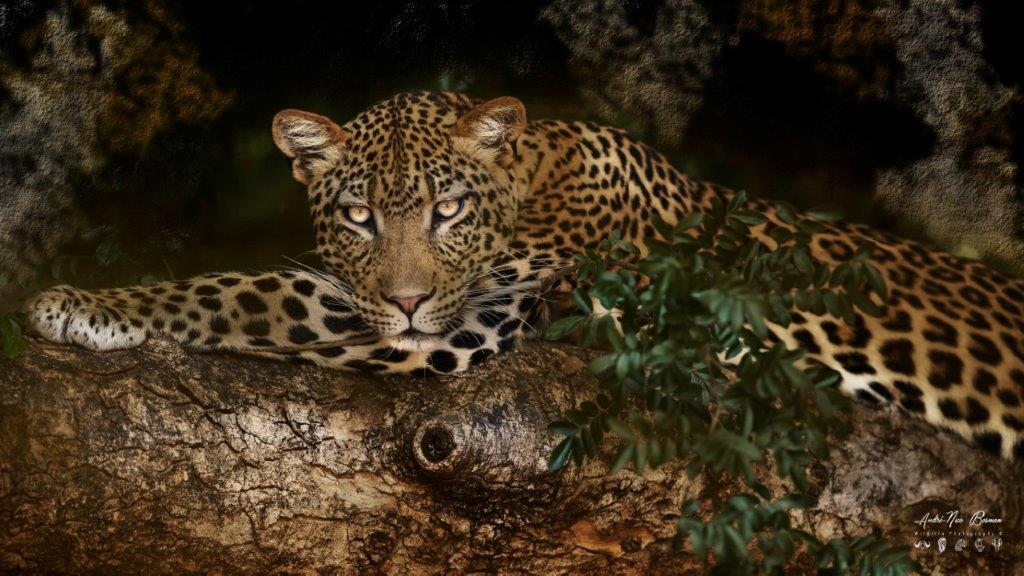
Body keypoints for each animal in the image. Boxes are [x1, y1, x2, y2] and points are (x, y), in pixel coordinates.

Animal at [24, 91, 1024, 459]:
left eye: (447, 211)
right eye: (359, 216)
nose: (407, 297)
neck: (538, 179)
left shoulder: (466, 325)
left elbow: (239, 293)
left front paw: (75, 303)